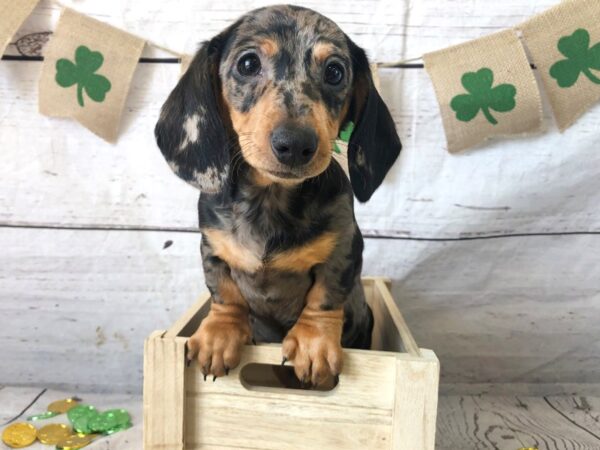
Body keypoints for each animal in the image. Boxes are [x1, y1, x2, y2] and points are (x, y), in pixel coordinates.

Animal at [155, 4, 400, 386]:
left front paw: (314, 343)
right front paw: (219, 334)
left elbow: (326, 294)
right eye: (248, 64)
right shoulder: (212, 247)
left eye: (334, 72)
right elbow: (223, 291)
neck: (270, 200)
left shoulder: (344, 249)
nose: (295, 144)